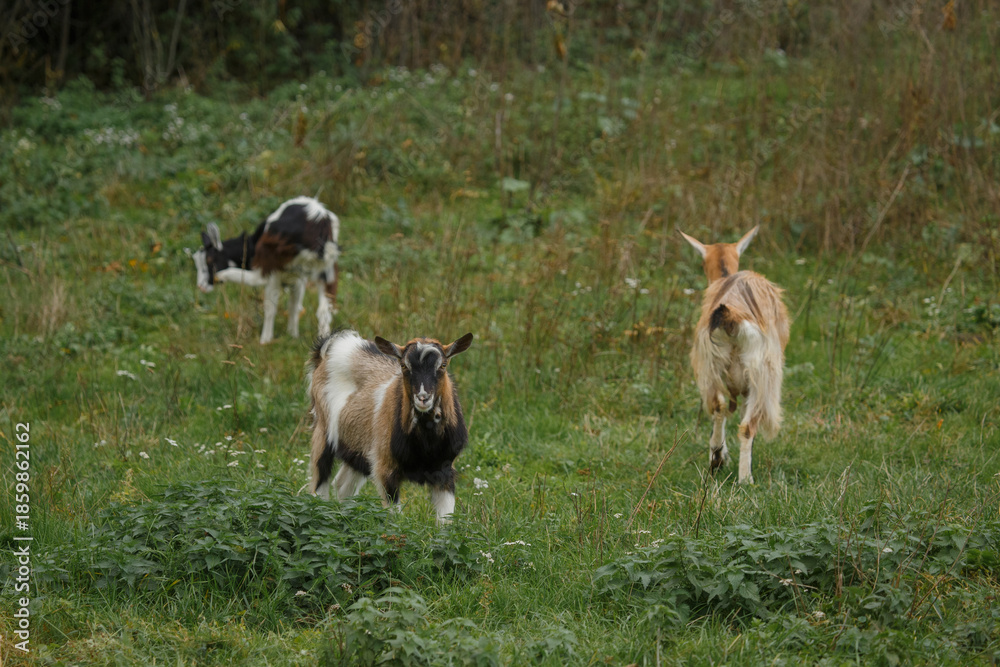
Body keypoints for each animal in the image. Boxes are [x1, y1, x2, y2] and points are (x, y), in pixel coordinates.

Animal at [192, 196, 340, 344]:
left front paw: (268, 340)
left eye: (209, 261)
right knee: (324, 309)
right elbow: (294, 304)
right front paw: (292, 335)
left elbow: (273, 304)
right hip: (327, 267)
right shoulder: (297, 276)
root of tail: (319, 219)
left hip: (272, 262)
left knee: (266, 297)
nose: (201, 286)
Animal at [307, 329, 474, 523]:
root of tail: (332, 349)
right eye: (404, 366)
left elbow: (446, 520)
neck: (426, 442)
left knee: (343, 485)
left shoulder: (444, 470)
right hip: (322, 431)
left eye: (443, 365)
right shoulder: (385, 469)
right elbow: (395, 519)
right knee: (318, 485)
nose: (423, 398)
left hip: (357, 451)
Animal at [679, 226, 790, 484]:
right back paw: (744, 478)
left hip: (711, 365)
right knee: (747, 425)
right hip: (762, 372)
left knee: (718, 405)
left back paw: (718, 460)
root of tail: (732, 315)